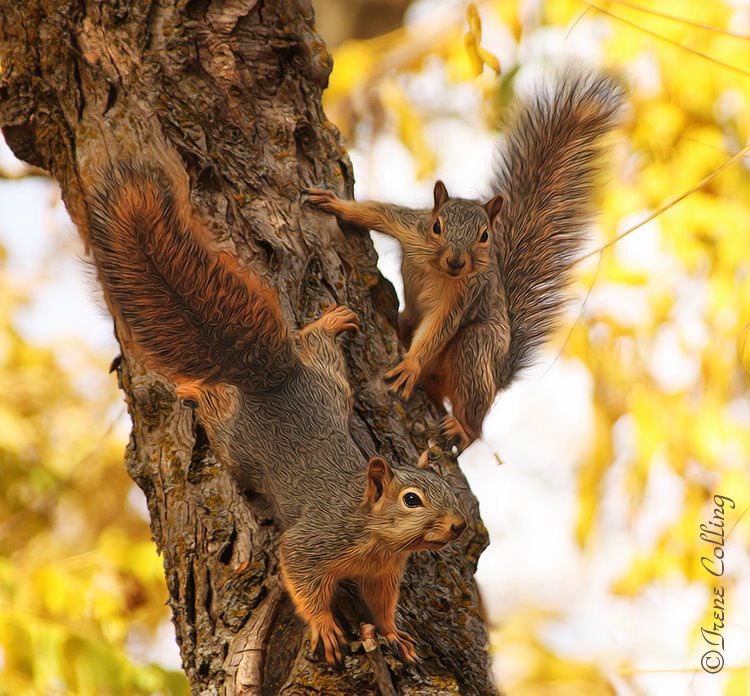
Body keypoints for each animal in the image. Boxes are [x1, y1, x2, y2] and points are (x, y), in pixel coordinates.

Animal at [85, 160, 468, 668]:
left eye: (446, 487)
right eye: (411, 499)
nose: (458, 525)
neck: (376, 536)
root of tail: (272, 378)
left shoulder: (384, 574)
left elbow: (383, 607)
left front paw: (393, 635)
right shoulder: (312, 543)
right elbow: (302, 582)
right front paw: (326, 628)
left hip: (331, 385)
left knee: (315, 345)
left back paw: (332, 321)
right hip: (236, 443)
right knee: (220, 413)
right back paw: (200, 389)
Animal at [306, 70, 628, 448]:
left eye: (485, 236)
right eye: (437, 226)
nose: (457, 262)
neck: (439, 272)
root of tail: (500, 374)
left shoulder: (465, 295)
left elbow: (439, 327)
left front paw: (410, 365)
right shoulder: (410, 228)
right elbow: (375, 212)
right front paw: (336, 205)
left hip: (478, 349)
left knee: (476, 417)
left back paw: (463, 427)